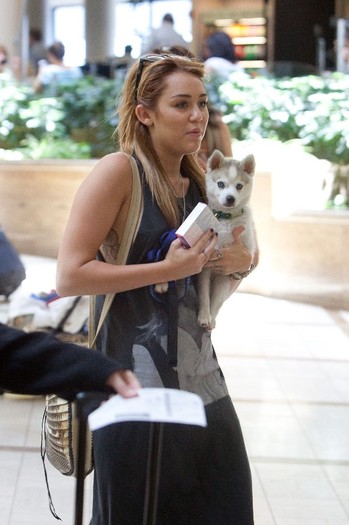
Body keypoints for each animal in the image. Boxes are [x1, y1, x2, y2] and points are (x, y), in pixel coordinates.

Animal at [197, 149, 256, 328]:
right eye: (221, 184)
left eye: (239, 186)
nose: (230, 198)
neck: (226, 218)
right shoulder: (204, 268)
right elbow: (204, 296)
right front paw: (204, 316)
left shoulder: (225, 274)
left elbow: (216, 301)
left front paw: (211, 318)